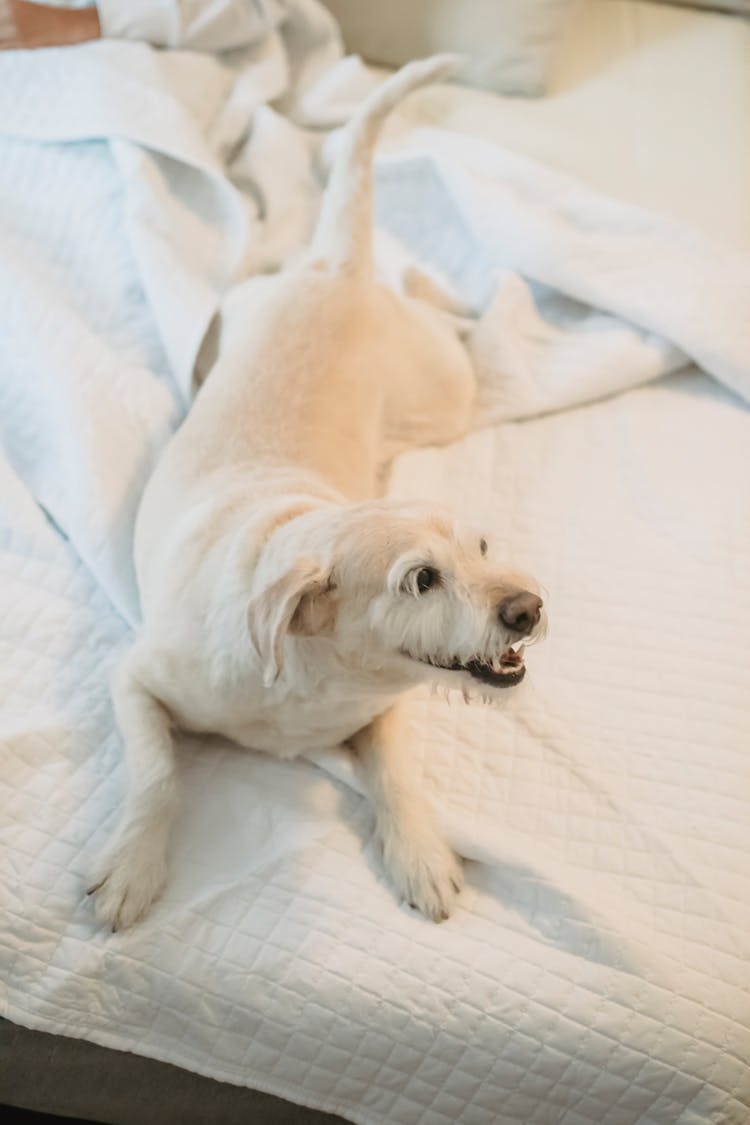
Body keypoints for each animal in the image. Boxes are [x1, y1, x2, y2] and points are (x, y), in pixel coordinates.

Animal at [88, 54, 546, 931]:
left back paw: (458, 294)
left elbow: (395, 771)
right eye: (421, 579)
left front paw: (421, 853)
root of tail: (340, 268)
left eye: (482, 545)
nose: (529, 609)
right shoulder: (137, 678)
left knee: (420, 291)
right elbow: (157, 772)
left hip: (443, 390)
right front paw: (132, 864)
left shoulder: (387, 710)